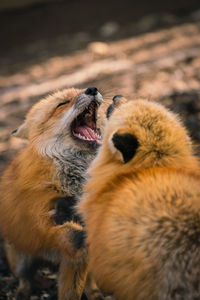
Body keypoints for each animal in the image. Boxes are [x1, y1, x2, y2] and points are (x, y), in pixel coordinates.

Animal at [0, 86, 106, 300]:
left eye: (80, 90)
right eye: (62, 103)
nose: (92, 89)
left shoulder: (75, 260)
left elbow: (71, 292)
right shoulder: (33, 212)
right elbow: (52, 227)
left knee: (86, 282)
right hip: (19, 259)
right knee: (25, 278)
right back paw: (22, 292)